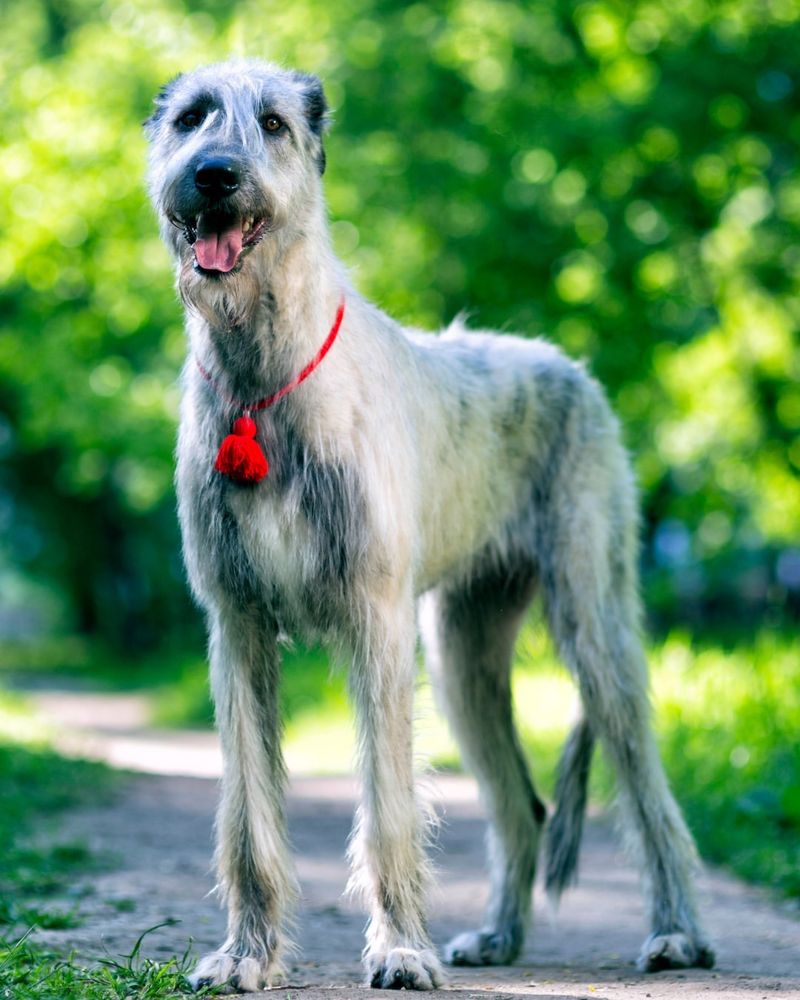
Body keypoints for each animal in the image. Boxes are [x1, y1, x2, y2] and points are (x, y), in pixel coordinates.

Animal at [144, 60, 712, 992]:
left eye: (273, 123)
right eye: (192, 117)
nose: (214, 176)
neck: (264, 375)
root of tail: (569, 365)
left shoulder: (379, 621)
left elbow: (389, 807)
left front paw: (401, 949)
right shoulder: (238, 623)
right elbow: (248, 815)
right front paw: (245, 955)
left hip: (593, 619)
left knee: (647, 785)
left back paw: (677, 935)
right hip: (465, 654)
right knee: (519, 804)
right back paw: (500, 935)